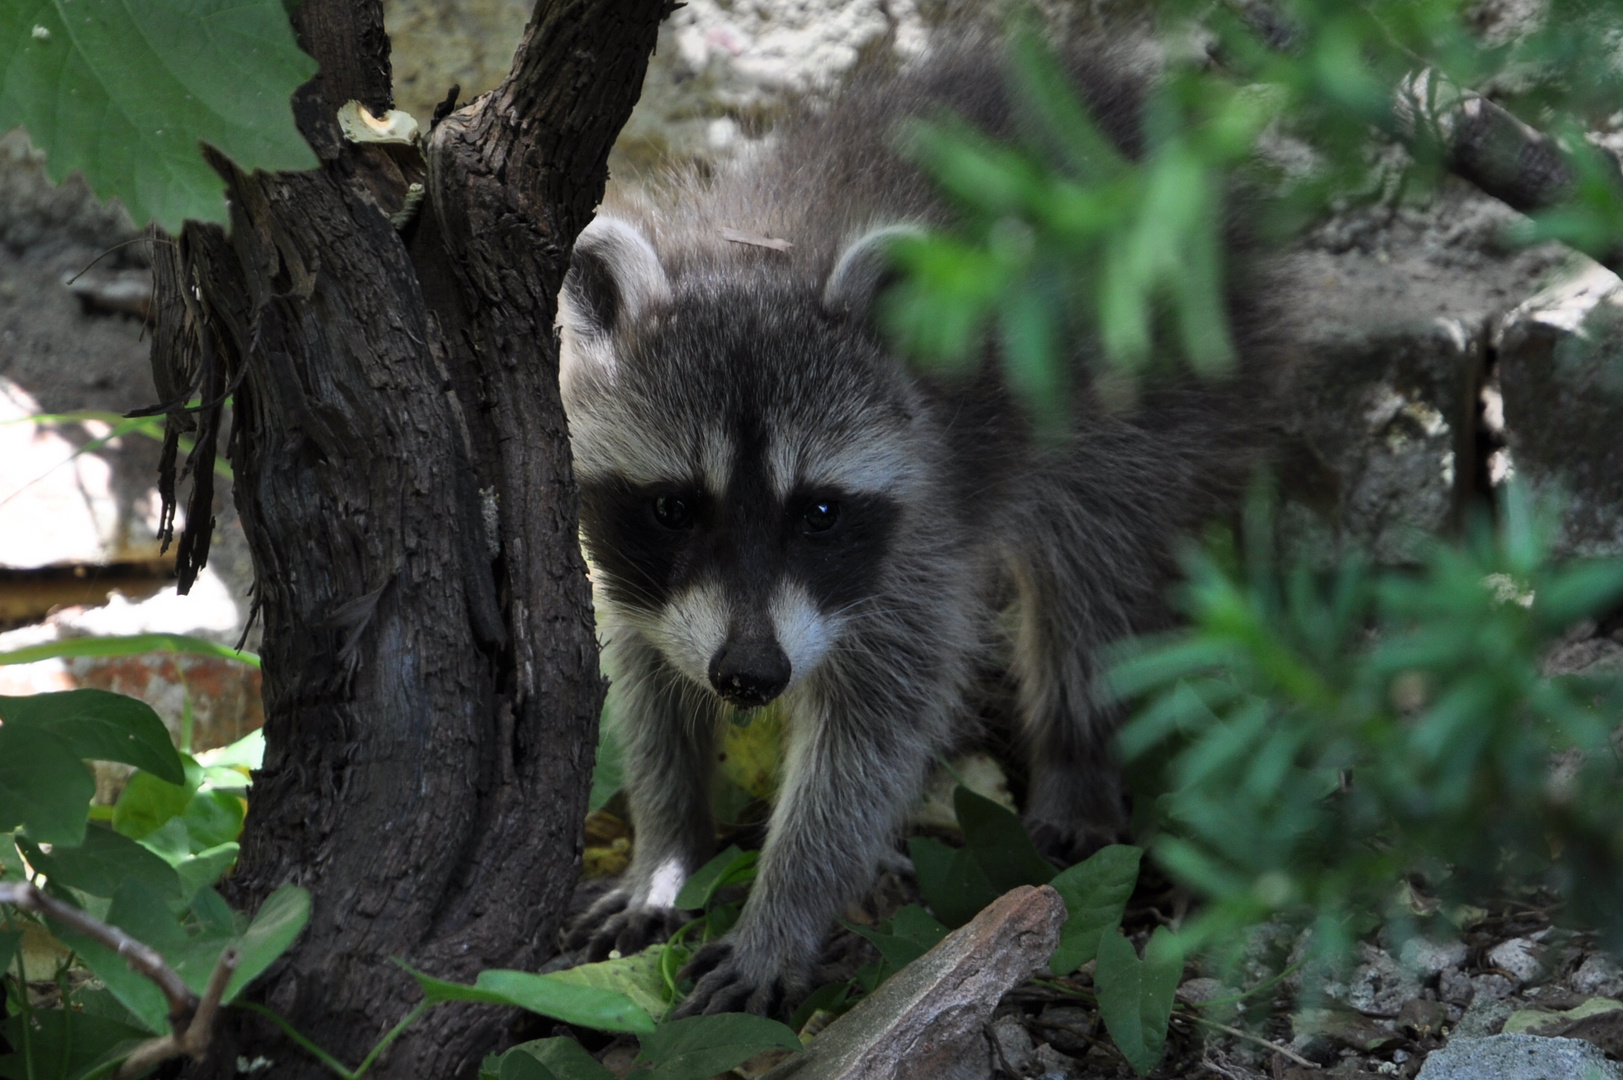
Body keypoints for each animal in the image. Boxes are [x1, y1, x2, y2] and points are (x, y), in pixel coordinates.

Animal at [564, 42, 1272, 1013]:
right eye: (674, 506)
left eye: (818, 512)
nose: (750, 676)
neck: (762, 253)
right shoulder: (634, 572)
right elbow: (645, 684)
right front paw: (666, 844)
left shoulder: (918, 539)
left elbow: (871, 740)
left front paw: (786, 908)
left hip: (1148, 396)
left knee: (1089, 592)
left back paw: (1077, 756)